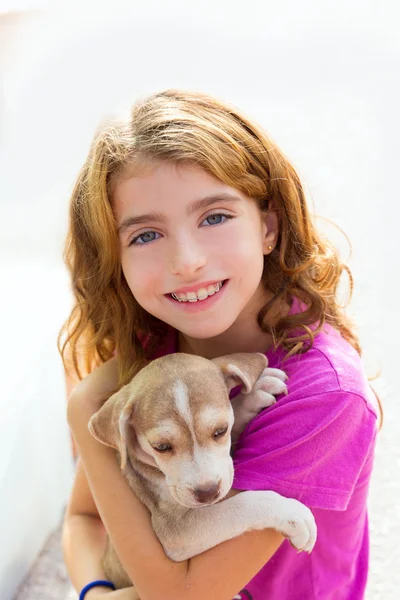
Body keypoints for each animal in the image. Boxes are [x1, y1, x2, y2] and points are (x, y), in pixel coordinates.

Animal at [89, 352, 318, 592]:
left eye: (220, 431)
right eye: (161, 446)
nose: (207, 492)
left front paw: (254, 393)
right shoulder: (175, 530)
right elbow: (241, 504)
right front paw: (292, 514)